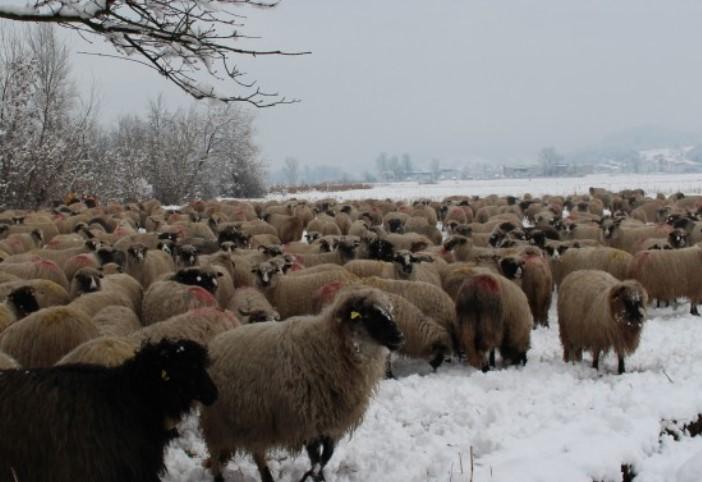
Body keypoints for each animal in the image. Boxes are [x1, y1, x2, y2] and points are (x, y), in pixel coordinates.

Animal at [201, 286, 404, 482]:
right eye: (369, 314)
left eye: (388, 311)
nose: (400, 337)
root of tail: (216, 342)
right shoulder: (306, 421)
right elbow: (315, 460)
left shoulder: (331, 425)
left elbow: (325, 458)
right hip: (217, 419)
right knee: (216, 452)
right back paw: (219, 477)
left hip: (254, 419)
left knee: (257, 452)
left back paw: (267, 477)